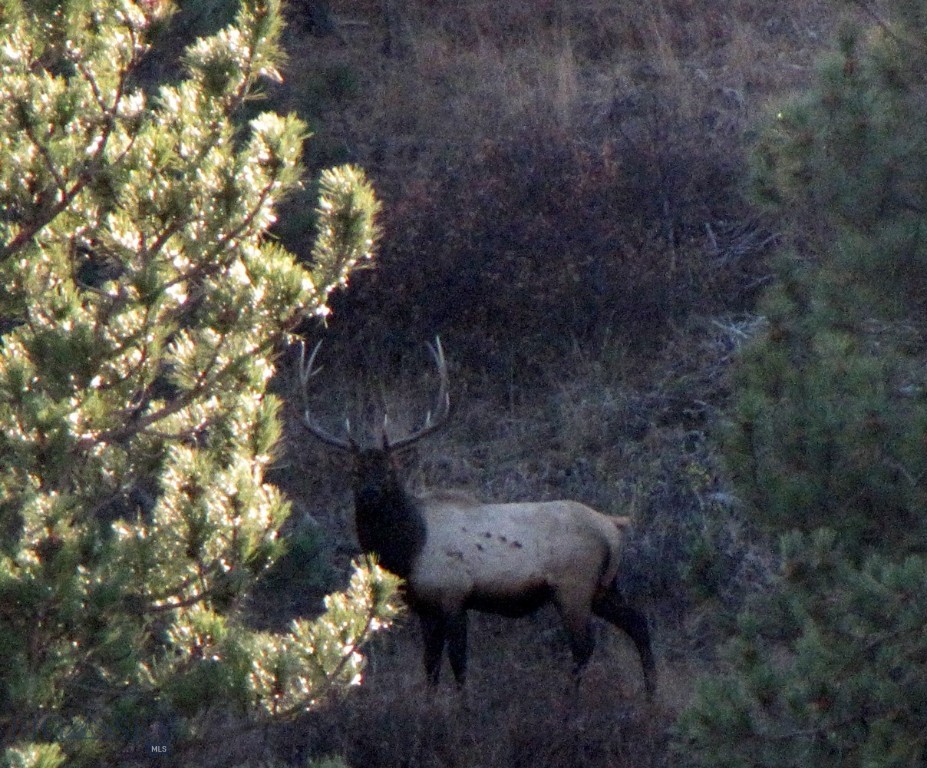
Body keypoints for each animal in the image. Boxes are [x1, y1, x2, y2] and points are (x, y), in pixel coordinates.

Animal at [296, 340, 652, 696]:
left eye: (389, 471)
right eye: (355, 472)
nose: (369, 494)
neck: (409, 550)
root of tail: (613, 527)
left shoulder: (454, 593)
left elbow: (458, 663)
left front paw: (463, 707)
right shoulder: (425, 607)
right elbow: (430, 665)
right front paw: (429, 704)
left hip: (573, 584)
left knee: (584, 645)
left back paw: (571, 700)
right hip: (603, 586)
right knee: (638, 623)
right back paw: (649, 695)